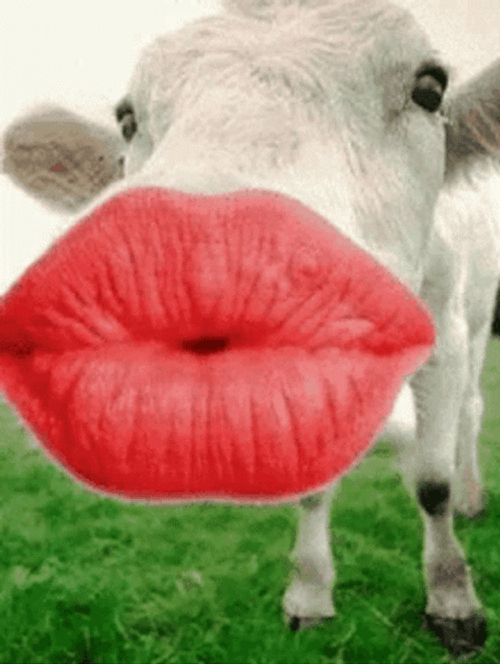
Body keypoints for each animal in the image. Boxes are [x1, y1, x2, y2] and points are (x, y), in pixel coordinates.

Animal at [1, 0, 500, 659]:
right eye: (128, 119)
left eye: (429, 87)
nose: (205, 252)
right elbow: (315, 487)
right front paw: (310, 595)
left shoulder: (444, 337)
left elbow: (431, 483)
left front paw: (453, 602)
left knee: (469, 412)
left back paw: (471, 498)